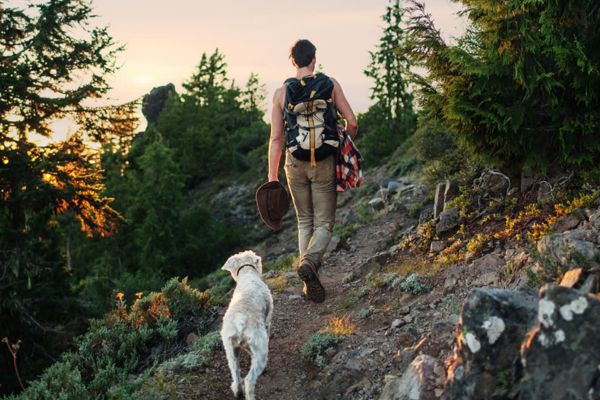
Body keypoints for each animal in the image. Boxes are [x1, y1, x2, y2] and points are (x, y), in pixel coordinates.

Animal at [220, 248, 274, 398]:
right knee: (249, 380)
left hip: (230, 350)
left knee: (236, 374)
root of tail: (239, 323)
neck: (247, 275)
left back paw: (238, 391)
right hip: (260, 348)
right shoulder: (267, 321)